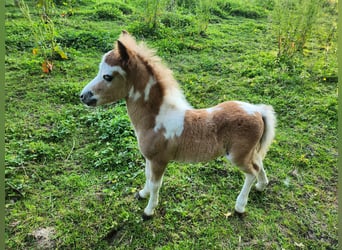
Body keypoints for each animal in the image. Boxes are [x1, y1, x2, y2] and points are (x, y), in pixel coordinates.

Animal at [80, 30, 276, 219]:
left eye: (107, 76)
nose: (83, 96)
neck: (155, 119)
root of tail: (257, 111)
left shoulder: (159, 160)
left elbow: (156, 184)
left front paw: (148, 211)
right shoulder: (149, 158)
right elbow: (147, 177)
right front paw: (142, 194)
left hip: (237, 155)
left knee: (251, 172)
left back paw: (240, 207)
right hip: (249, 151)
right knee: (259, 163)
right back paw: (261, 186)